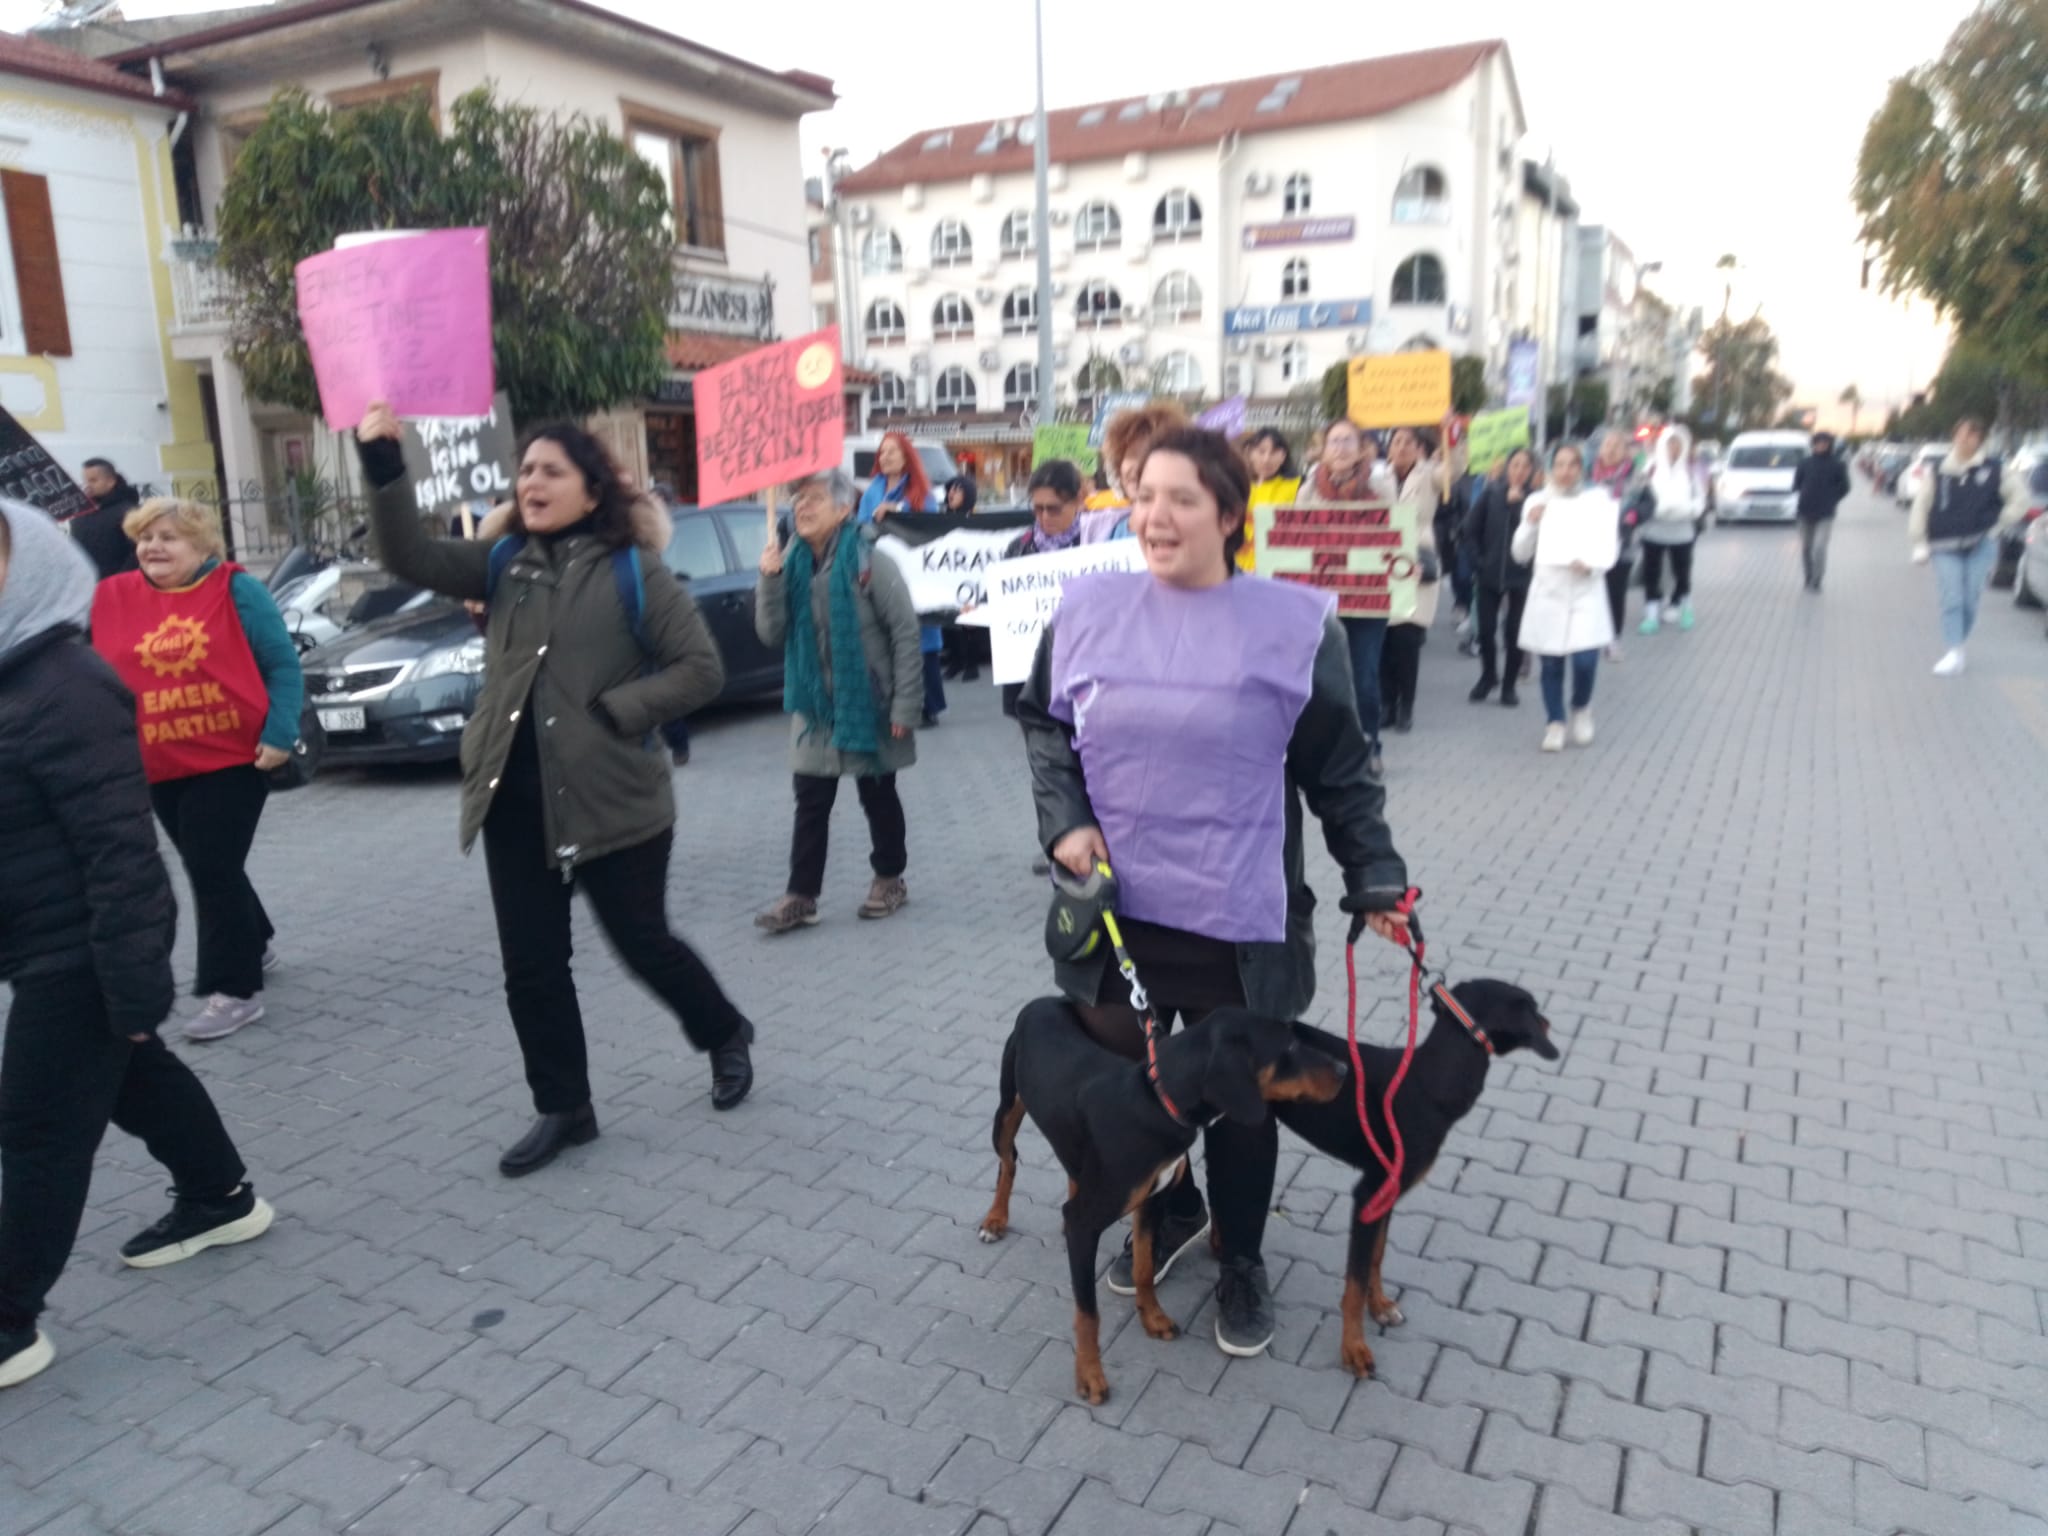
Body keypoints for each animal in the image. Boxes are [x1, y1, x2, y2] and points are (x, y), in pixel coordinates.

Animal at [974, 999, 1343, 1409]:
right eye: (1288, 1047)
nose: (1344, 1071)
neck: (1157, 1104)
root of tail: (1040, 1002)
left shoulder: (1150, 1202)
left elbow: (1143, 1268)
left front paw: (1152, 1318)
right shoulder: (1087, 1224)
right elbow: (1088, 1313)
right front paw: (1089, 1375)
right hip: (1007, 1109)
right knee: (1008, 1162)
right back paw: (995, 1219)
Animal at [1269, 987, 1556, 1384]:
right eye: (1532, 1008)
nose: (1548, 1022)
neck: (1428, 1081)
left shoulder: (1386, 1196)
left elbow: (1376, 1257)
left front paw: (1380, 1306)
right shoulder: (1367, 1196)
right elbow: (1355, 1281)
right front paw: (1354, 1348)